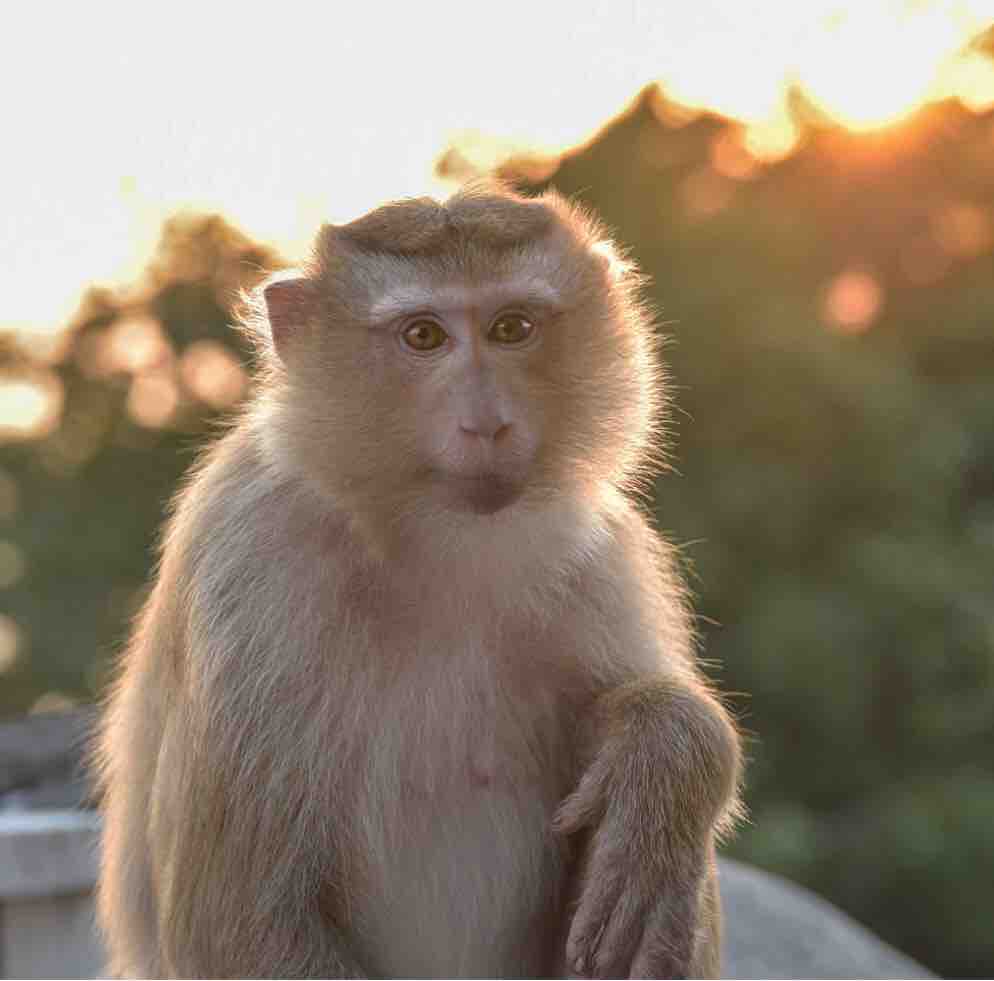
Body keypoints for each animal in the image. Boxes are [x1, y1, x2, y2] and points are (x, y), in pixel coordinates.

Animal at [97, 182, 740, 972]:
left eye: (512, 327)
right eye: (424, 337)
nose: (487, 423)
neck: (432, 546)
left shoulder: (603, 557)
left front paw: (666, 754)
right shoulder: (250, 560)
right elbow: (236, 919)